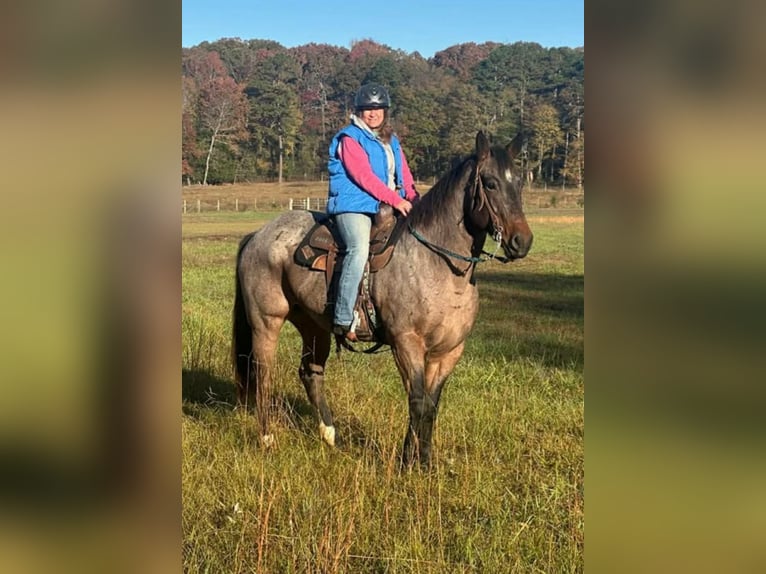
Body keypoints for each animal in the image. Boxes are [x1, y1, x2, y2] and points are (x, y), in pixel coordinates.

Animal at [232, 131, 533, 467]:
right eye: (490, 183)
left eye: (519, 182)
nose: (522, 241)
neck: (436, 262)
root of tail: (258, 234)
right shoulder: (406, 343)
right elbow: (417, 401)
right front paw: (409, 464)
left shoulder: (449, 351)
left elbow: (431, 404)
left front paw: (424, 461)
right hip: (266, 322)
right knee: (262, 374)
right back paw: (267, 439)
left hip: (314, 327)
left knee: (310, 373)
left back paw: (330, 435)